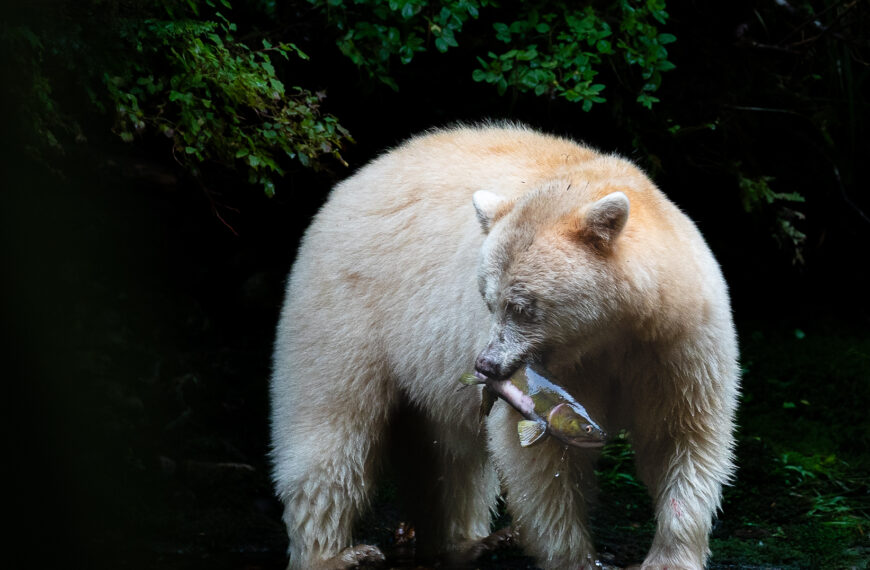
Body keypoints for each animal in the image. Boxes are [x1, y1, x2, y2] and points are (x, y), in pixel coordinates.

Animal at [270, 124, 740, 570]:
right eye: (488, 299)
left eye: (522, 306)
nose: (486, 365)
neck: (613, 332)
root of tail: (354, 179)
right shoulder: (562, 374)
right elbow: (540, 459)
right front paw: (575, 558)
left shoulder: (676, 346)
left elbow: (682, 436)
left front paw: (670, 557)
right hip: (346, 311)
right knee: (332, 430)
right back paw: (334, 553)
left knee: (453, 459)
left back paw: (463, 540)